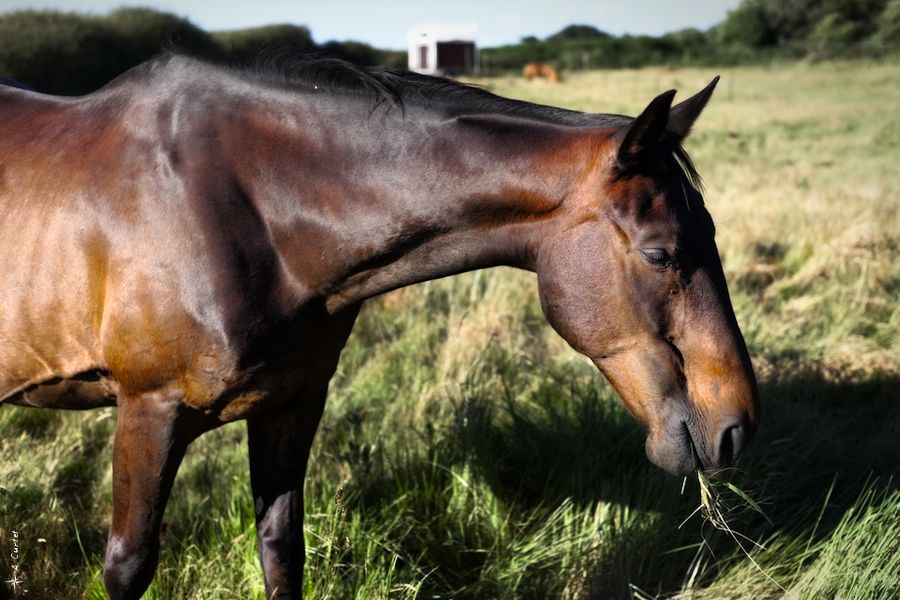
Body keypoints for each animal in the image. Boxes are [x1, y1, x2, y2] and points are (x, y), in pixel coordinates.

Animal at [0, 54, 760, 596]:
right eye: (661, 252)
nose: (736, 428)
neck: (247, 209)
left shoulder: (290, 404)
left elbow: (281, 552)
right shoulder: (148, 410)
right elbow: (128, 566)